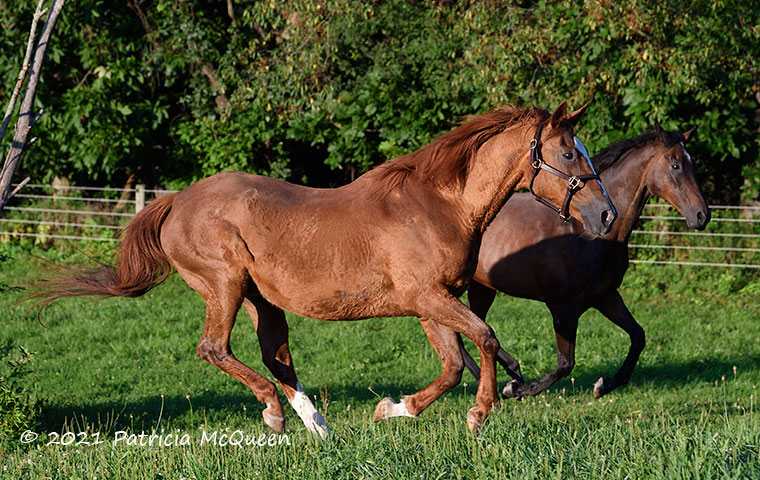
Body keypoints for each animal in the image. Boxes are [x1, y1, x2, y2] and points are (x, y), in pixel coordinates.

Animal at [31, 103, 616, 436]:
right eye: (569, 153)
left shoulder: (432, 302)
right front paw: (479, 414)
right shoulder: (429, 298)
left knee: (277, 357)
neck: (441, 205)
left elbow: (454, 364)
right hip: (225, 285)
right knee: (215, 349)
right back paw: (274, 414)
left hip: (261, 300)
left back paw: (319, 426)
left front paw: (392, 410)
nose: (606, 215)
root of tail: (176, 202)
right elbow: (487, 340)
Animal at [454, 123, 708, 398]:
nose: (702, 215)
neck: (589, 235)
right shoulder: (562, 308)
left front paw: (605, 385)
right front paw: (521, 389)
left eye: (692, 164)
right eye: (676, 165)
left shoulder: (605, 296)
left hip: (481, 287)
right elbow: (565, 364)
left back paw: (506, 371)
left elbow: (638, 336)